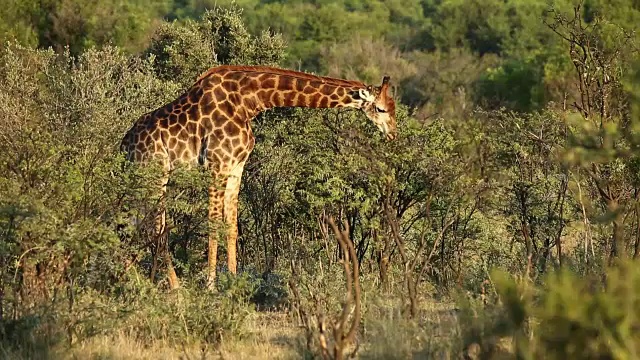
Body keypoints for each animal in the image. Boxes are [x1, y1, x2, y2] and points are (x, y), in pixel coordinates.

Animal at [121, 65, 396, 290]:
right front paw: (210, 285)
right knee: (156, 227)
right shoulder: (217, 164)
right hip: (155, 174)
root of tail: (124, 144)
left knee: (135, 223)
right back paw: (171, 286)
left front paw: (233, 281)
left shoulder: (236, 166)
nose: (393, 133)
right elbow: (213, 223)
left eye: (393, 107)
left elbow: (232, 225)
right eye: (381, 108)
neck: (248, 102)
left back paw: (126, 277)